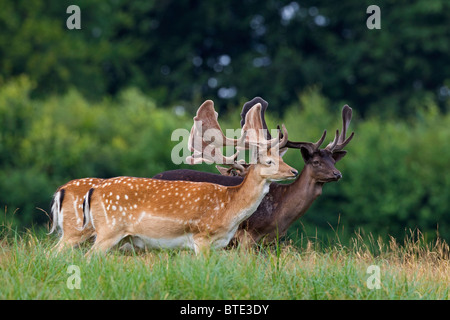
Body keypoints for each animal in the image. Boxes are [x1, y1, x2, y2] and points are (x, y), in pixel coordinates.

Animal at [81, 100, 298, 255]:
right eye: (269, 162)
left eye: (280, 158)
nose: (294, 171)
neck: (229, 209)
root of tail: (93, 191)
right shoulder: (202, 237)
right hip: (108, 231)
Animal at [155, 97, 356, 248]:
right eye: (316, 162)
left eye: (333, 160)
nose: (337, 174)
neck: (280, 213)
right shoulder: (247, 235)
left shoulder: (271, 241)